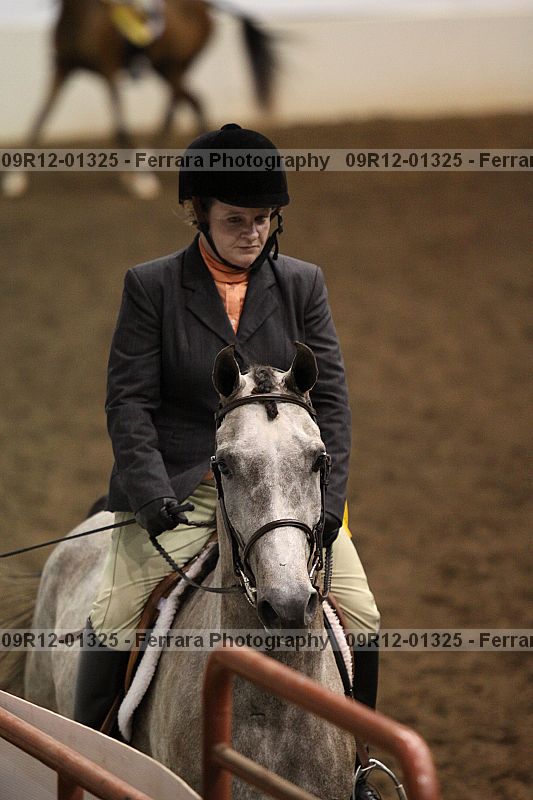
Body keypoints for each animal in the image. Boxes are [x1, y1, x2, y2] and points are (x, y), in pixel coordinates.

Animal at [2, 0, 276, 198]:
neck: (82, 14)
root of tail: (205, 6)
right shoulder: (63, 68)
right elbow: (40, 117)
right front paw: (15, 178)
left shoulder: (108, 71)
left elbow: (120, 126)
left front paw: (138, 181)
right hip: (167, 68)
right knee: (193, 101)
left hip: (174, 67)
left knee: (177, 106)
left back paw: (146, 171)